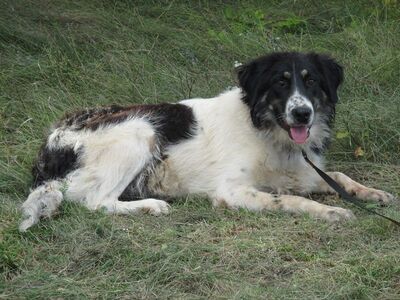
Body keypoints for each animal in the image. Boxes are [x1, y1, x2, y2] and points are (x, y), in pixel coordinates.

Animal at [18, 52, 394, 232]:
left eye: (311, 80)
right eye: (280, 82)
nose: (302, 114)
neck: (264, 128)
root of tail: (50, 146)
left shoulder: (297, 171)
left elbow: (338, 178)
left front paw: (372, 193)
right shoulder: (231, 191)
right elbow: (289, 200)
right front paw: (331, 211)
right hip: (140, 130)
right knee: (96, 202)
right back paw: (150, 206)